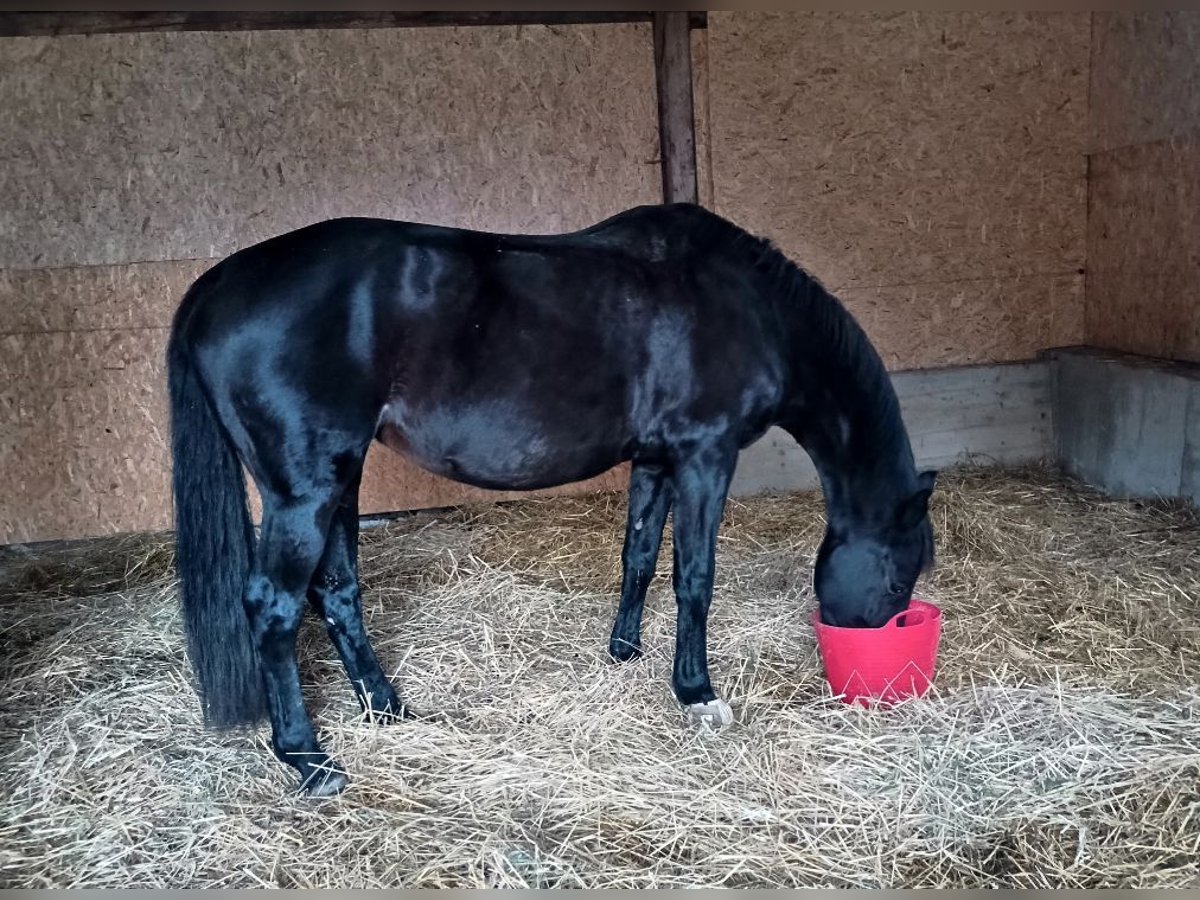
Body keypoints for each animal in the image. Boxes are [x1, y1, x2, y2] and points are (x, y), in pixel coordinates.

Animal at [169, 204, 936, 796]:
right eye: (900, 570)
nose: (870, 649)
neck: (746, 305)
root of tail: (216, 284)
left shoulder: (656, 460)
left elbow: (640, 556)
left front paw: (625, 651)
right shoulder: (704, 456)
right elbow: (694, 577)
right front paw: (697, 693)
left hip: (338, 481)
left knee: (337, 593)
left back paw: (389, 711)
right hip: (307, 489)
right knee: (274, 607)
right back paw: (310, 761)